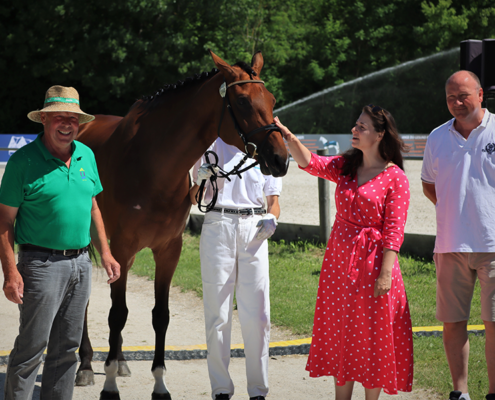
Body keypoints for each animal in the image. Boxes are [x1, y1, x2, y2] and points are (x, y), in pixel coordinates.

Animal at [75, 50, 288, 400]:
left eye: (270, 99)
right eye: (243, 101)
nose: (281, 159)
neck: (150, 165)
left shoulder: (168, 250)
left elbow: (160, 316)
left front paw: (159, 386)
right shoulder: (122, 248)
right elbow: (117, 314)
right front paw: (109, 387)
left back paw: (120, 360)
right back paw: (85, 366)